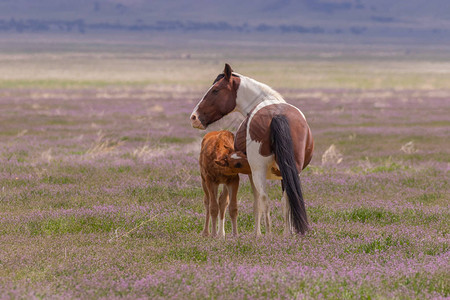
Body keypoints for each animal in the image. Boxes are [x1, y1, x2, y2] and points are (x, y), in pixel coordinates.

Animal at [190, 63, 312, 237]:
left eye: (215, 90)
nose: (194, 117)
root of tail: (277, 114)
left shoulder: (250, 172)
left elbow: (256, 203)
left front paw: (257, 233)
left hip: (258, 171)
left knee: (264, 199)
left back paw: (268, 234)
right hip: (292, 169)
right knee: (287, 199)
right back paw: (285, 235)